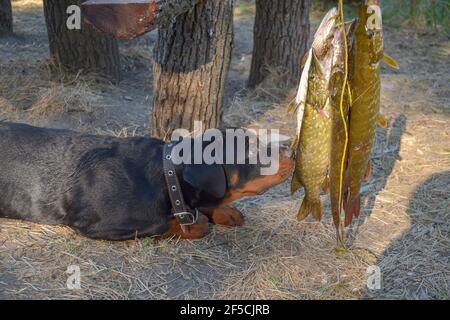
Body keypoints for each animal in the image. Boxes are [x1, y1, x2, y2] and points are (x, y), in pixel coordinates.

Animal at [0, 122, 294, 240]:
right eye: (250, 151)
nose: (291, 150)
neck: (166, 177)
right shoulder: (98, 225)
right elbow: (163, 224)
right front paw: (195, 224)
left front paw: (225, 212)